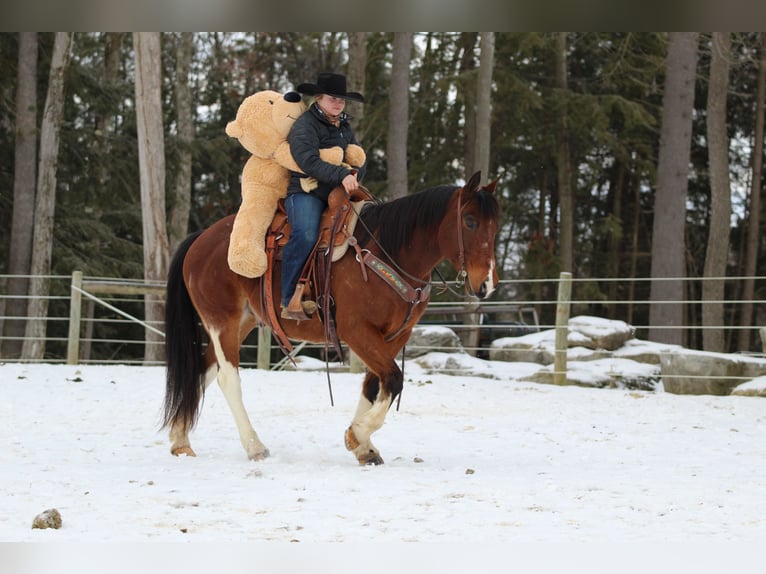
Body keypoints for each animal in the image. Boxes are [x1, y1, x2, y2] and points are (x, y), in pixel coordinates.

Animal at [162, 171, 500, 468]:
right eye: (470, 221)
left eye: (495, 226)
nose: (487, 284)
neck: (389, 252)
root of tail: (201, 239)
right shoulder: (357, 331)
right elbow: (393, 379)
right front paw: (357, 435)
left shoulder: (395, 335)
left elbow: (374, 384)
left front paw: (364, 447)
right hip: (222, 320)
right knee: (227, 377)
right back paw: (255, 446)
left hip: (240, 322)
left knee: (202, 371)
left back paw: (180, 440)